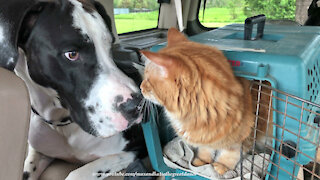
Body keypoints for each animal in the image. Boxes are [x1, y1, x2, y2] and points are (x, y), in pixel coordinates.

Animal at [140, 28, 270, 174]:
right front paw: (201, 162)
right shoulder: (205, 140)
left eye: (147, 80)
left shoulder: (243, 139)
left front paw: (220, 167)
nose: (140, 87)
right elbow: (205, 151)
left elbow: (230, 155)